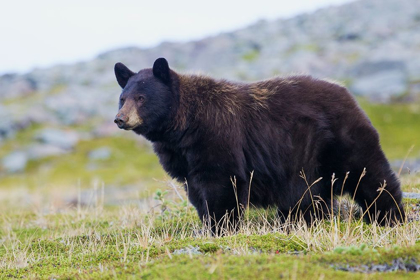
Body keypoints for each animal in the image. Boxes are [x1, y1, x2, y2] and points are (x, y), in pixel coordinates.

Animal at [113, 57, 406, 230]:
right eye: (122, 98)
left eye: (141, 97)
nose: (120, 119)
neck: (184, 127)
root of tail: (347, 93)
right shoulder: (184, 159)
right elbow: (196, 192)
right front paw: (207, 223)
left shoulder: (218, 137)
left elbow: (223, 183)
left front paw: (222, 226)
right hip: (310, 160)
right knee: (312, 195)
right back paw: (301, 221)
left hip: (340, 139)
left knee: (369, 174)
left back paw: (390, 216)